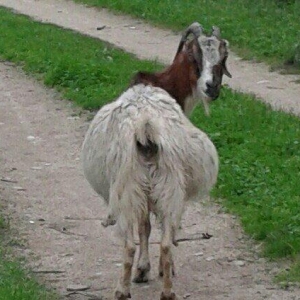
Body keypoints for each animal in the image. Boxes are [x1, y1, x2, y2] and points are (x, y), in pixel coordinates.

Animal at [82, 22, 232, 300]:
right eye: (195, 56)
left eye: (222, 57)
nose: (211, 87)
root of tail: (146, 128)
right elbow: (153, 230)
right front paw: (154, 270)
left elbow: (145, 228)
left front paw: (143, 270)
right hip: (167, 187)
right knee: (165, 241)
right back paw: (167, 291)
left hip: (131, 188)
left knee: (133, 243)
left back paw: (123, 289)